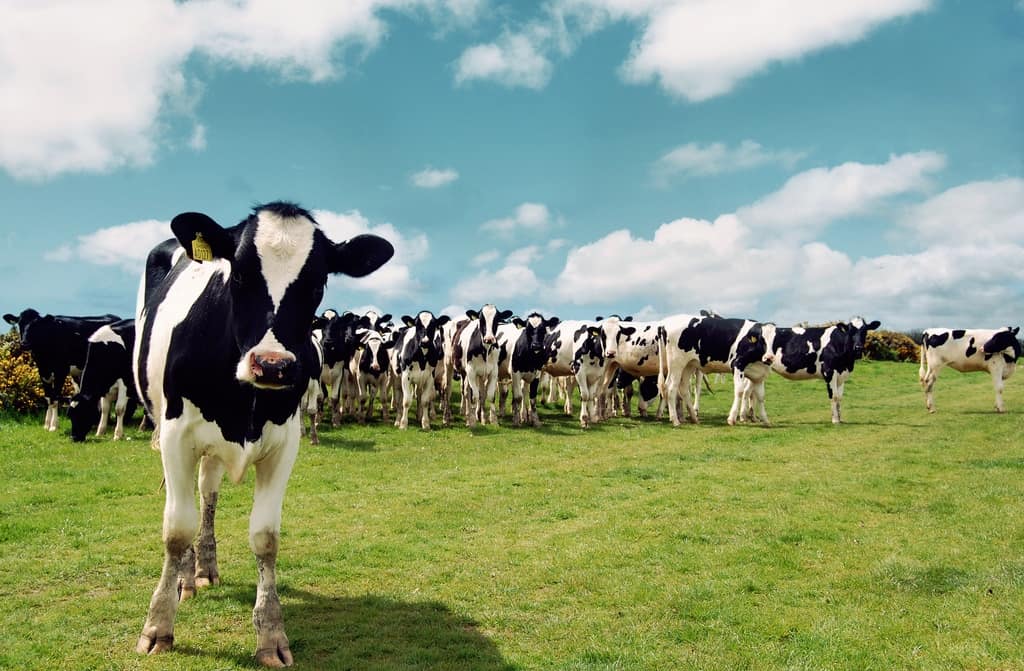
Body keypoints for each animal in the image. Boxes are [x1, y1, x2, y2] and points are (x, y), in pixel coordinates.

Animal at [133, 201, 392, 666]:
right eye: (238, 274)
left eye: (318, 283)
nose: (272, 365)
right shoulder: (177, 436)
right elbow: (176, 530)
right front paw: (158, 626)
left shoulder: (284, 445)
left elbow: (265, 538)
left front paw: (271, 634)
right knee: (187, 504)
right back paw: (185, 578)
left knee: (208, 494)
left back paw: (205, 568)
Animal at [749, 317, 881, 424]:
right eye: (850, 331)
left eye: (865, 331)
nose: (858, 347)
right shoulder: (829, 371)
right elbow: (833, 396)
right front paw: (835, 420)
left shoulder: (842, 375)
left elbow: (839, 397)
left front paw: (840, 418)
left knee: (751, 392)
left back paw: (752, 418)